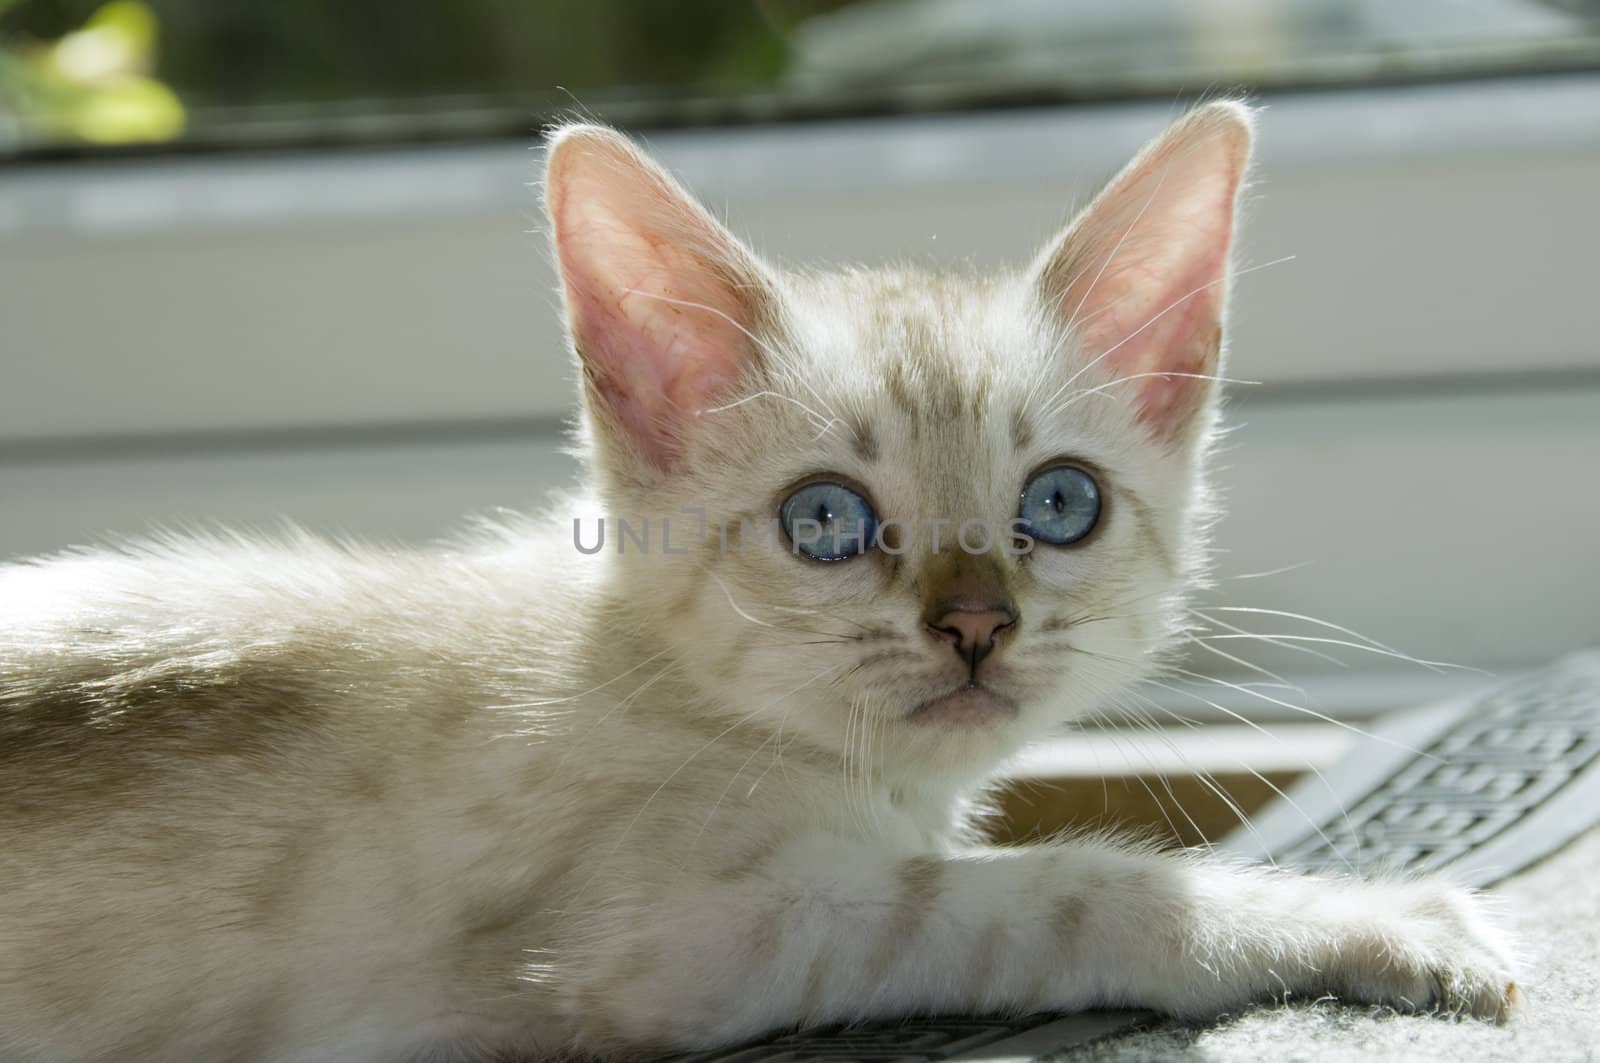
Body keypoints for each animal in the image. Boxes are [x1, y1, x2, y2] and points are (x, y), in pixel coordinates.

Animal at [0, 101, 1516, 1063]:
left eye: (1060, 503)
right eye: (827, 520)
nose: (977, 624)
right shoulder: (684, 939)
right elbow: (1070, 890)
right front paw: (1385, 919)